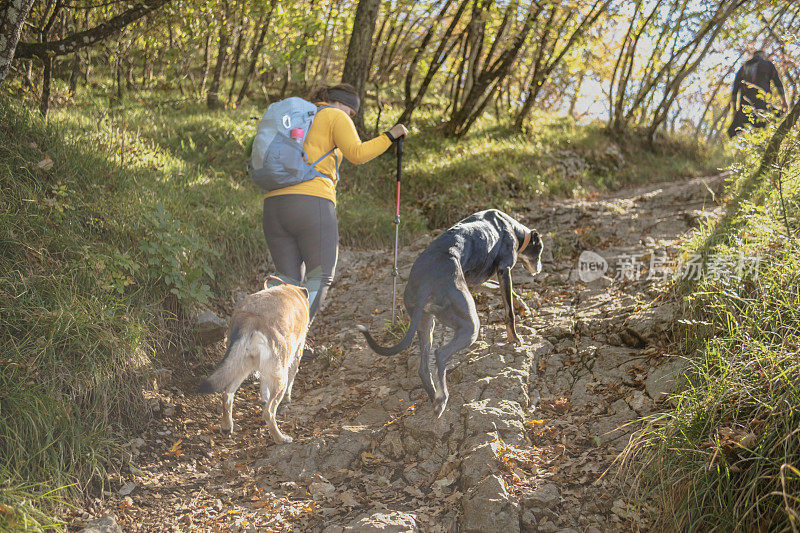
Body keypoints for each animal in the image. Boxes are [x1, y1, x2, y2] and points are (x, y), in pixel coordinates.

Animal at [199, 280, 310, 442]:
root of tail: (251, 319)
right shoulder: (296, 353)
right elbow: (291, 379)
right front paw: (288, 399)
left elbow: (263, 384)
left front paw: (264, 397)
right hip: (279, 377)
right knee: (268, 412)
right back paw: (280, 438)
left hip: (240, 367)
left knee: (227, 395)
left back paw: (227, 426)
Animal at [358, 208, 540, 416]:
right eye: (540, 250)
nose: (538, 269)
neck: (509, 226)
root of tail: (426, 281)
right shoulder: (504, 270)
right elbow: (508, 309)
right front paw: (514, 337)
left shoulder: (475, 282)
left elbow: (498, 290)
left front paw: (522, 305)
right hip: (470, 325)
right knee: (440, 354)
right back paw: (443, 397)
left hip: (426, 325)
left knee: (423, 368)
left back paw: (435, 399)